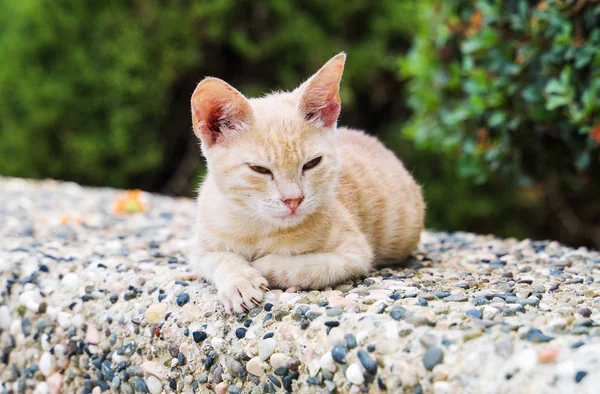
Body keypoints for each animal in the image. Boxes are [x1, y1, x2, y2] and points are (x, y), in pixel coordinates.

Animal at [190, 52, 424, 312]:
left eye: (312, 163)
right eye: (259, 169)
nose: (293, 200)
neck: (259, 229)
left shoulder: (354, 254)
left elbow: (306, 267)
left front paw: (262, 265)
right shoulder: (199, 248)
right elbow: (220, 257)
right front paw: (240, 281)